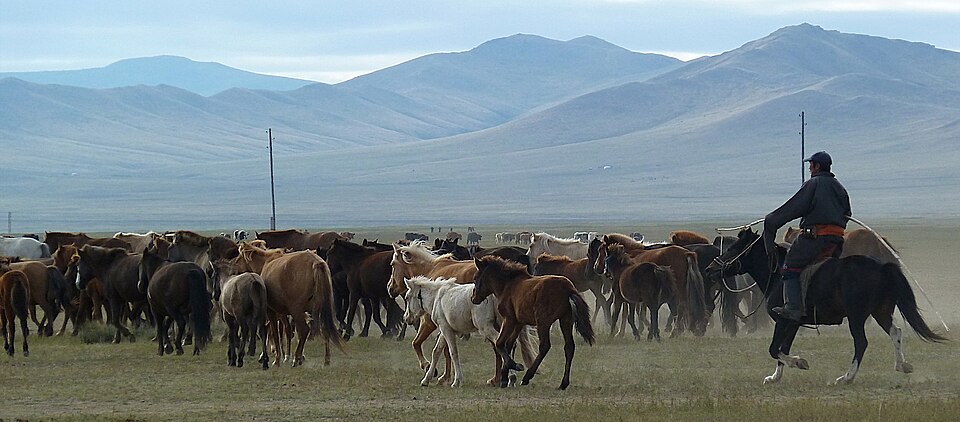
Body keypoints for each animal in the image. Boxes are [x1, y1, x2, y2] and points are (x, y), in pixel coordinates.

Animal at [403, 276, 535, 387]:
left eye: (407, 297)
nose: (406, 318)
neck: (437, 297)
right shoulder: (446, 329)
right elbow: (436, 352)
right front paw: (426, 379)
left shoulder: (446, 330)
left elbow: (453, 352)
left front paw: (457, 381)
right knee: (509, 344)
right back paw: (510, 377)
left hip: (486, 328)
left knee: (501, 344)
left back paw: (510, 377)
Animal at [471, 255, 595, 390]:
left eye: (476, 277)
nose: (473, 298)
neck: (508, 285)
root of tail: (568, 288)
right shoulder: (519, 323)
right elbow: (509, 344)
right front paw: (505, 377)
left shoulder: (509, 319)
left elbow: (500, 343)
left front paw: (515, 366)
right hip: (565, 320)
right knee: (569, 347)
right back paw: (563, 383)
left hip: (543, 322)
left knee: (545, 346)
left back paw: (527, 377)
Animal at [706, 228, 946, 385]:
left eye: (734, 248)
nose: (709, 269)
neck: (777, 274)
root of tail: (882, 267)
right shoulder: (792, 323)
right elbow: (783, 347)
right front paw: (775, 377)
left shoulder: (784, 319)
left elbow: (775, 348)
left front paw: (799, 362)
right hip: (881, 312)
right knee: (895, 332)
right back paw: (902, 365)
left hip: (857, 316)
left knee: (861, 342)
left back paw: (846, 377)